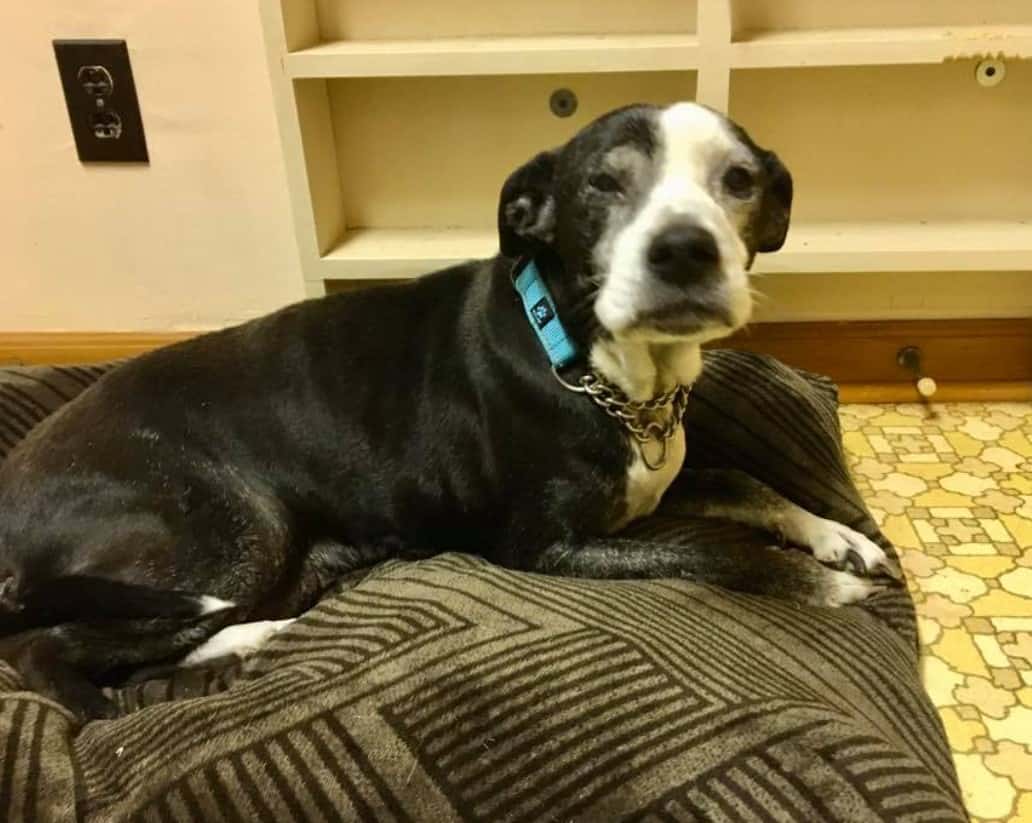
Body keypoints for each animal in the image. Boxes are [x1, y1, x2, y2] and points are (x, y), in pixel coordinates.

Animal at [0, 101, 899, 718]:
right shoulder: (545, 545)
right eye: (602, 184)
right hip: (229, 527)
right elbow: (709, 549)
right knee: (45, 651)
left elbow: (751, 484)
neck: (600, 368)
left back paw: (248, 639)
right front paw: (819, 584)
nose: (684, 249)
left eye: (739, 180)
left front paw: (840, 537)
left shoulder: (660, 484)